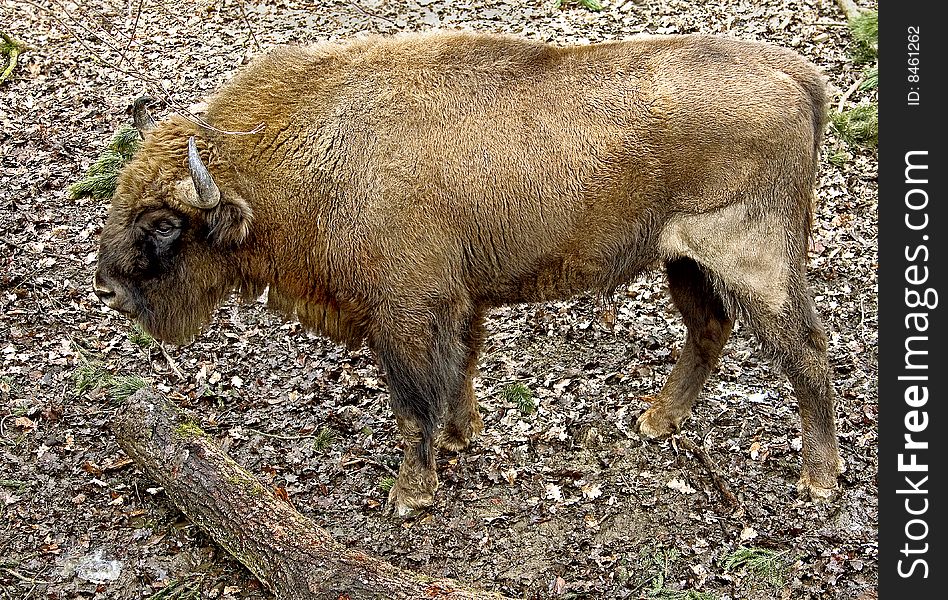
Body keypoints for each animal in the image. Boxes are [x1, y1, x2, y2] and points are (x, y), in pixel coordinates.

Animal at [94, 30, 844, 512]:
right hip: (682, 260)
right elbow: (460, 370)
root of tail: (794, 75)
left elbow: (412, 401)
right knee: (710, 330)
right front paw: (462, 436)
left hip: (753, 261)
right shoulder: (459, 302)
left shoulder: (403, 314)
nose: (109, 285)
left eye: (163, 225)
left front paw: (411, 495)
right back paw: (655, 421)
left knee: (807, 349)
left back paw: (819, 479)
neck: (302, 155)